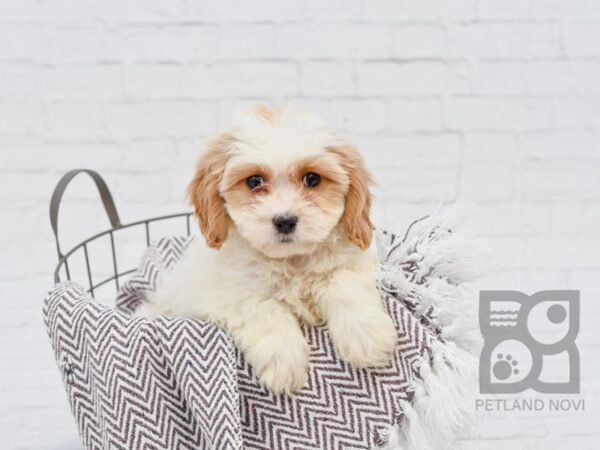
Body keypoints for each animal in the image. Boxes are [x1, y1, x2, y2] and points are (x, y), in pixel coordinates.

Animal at [144, 103, 398, 394]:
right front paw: (284, 363)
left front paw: (367, 335)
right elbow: (264, 308)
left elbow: (344, 282)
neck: (291, 260)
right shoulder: (225, 295)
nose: (285, 220)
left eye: (312, 178)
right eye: (254, 181)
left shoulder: (354, 262)